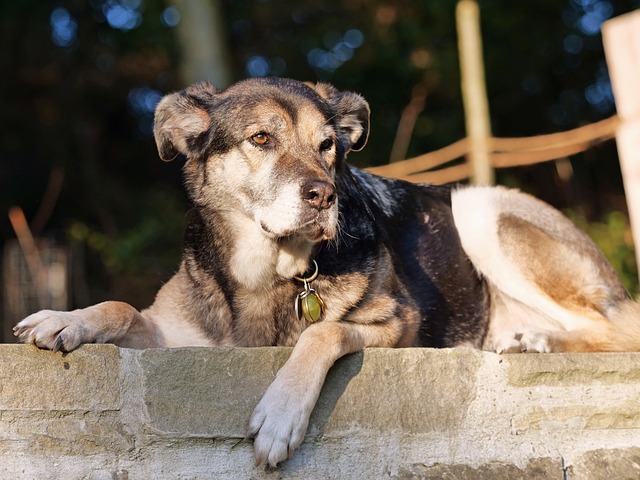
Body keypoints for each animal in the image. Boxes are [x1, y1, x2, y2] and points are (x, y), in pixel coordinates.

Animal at [12, 78, 640, 464]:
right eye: (261, 138)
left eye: (328, 147)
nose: (325, 196)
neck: (267, 271)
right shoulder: (179, 333)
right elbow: (120, 306)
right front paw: (64, 320)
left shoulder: (396, 324)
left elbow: (322, 331)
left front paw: (280, 414)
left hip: (479, 210)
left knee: (617, 330)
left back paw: (536, 339)